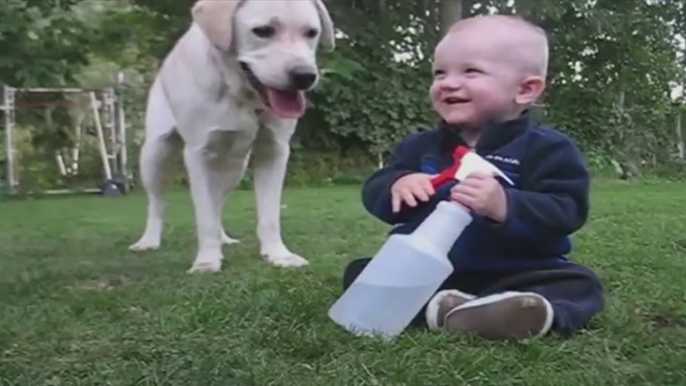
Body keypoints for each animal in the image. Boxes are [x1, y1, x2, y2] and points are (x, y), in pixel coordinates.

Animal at [130, 0, 338, 274]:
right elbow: (204, 217)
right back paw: (149, 240)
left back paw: (223, 238)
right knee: (157, 202)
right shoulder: (198, 154)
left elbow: (269, 215)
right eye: (263, 31)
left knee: (218, 201)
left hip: (234, 168)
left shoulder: (274, 151)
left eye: (311, 33)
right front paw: (207, 261)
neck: (241, 95)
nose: (304, 76)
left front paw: (279, 255)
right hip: (155, 154)